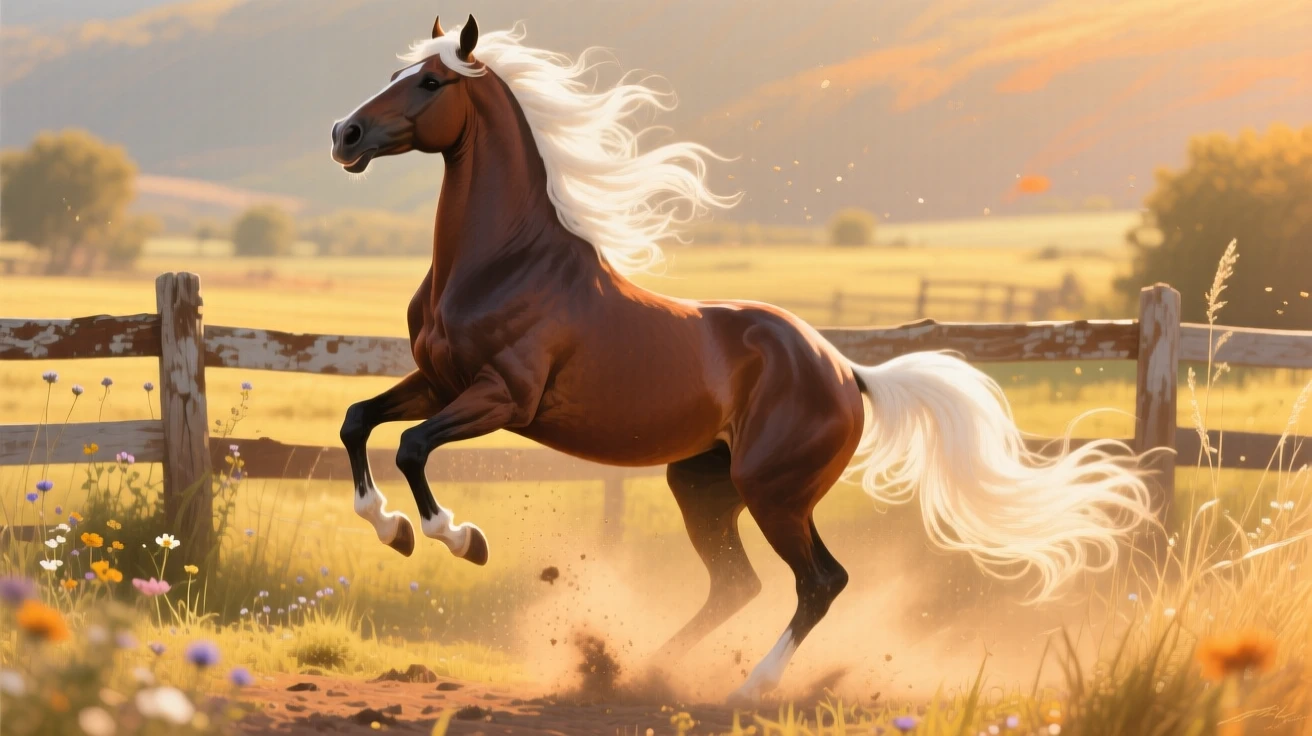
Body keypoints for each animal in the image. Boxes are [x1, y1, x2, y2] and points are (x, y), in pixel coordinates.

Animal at [329, 15, 1156, 702]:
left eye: (430, 82)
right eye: (397, 70)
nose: (345, 132)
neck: (504, 262)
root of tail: (848, 372)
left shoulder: (503, 396)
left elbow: (411, 447)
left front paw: (458, 538)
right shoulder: (437, 380)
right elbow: (357, 421)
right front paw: (392, 528)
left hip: (775, 492)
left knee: (820, 581)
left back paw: (749, 688)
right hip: (703, 487)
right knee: (737, 586)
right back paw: (644, 672)